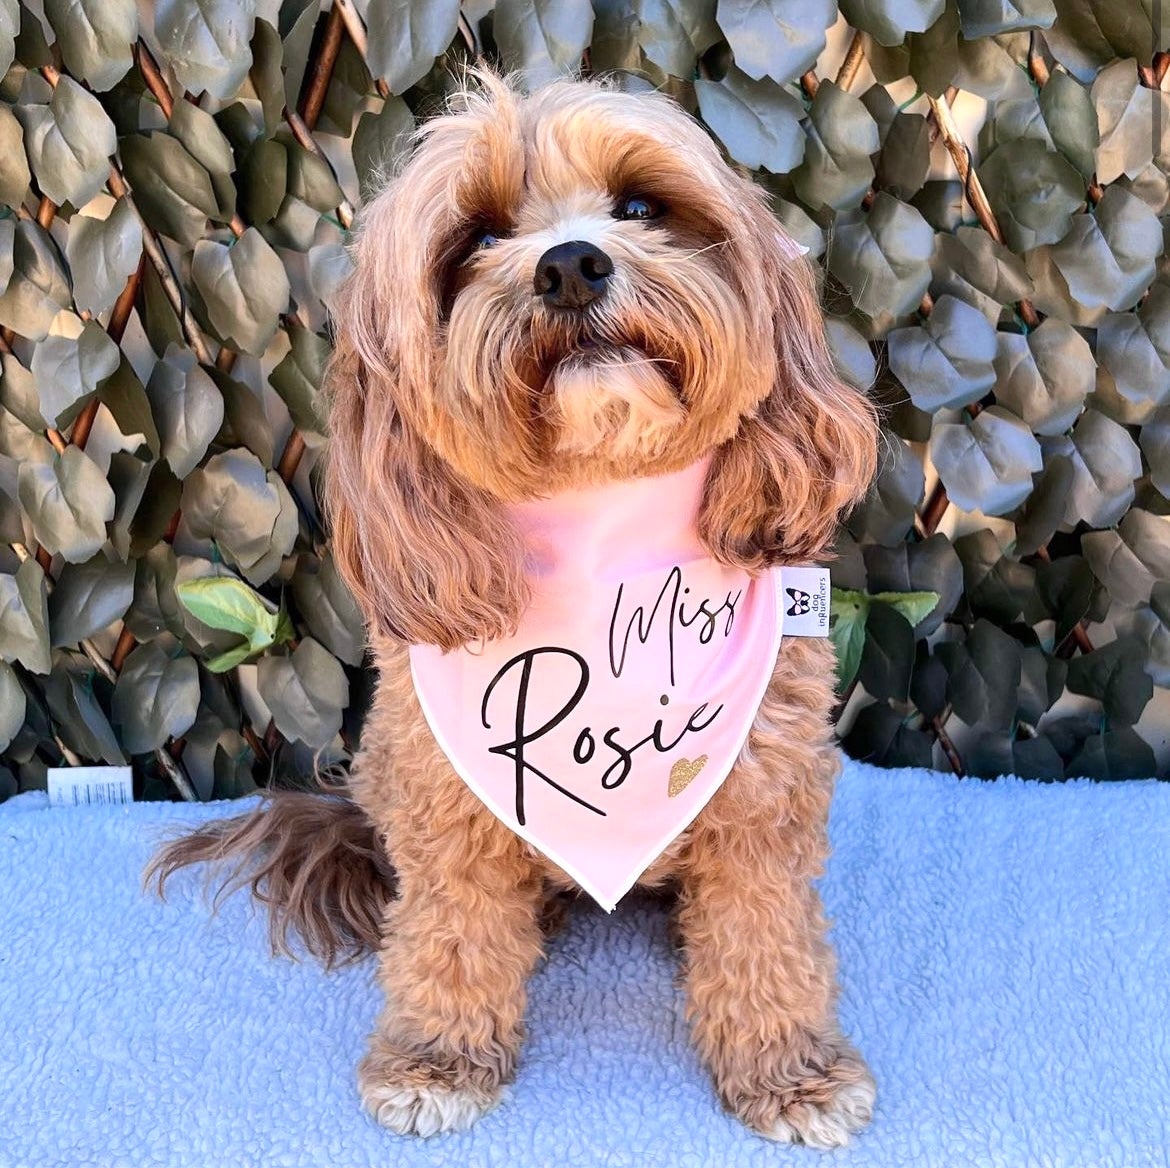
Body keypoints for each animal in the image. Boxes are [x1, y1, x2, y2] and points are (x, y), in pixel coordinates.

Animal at [150, 73, 879, 1151]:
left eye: (639, 206)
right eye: (479, 237)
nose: (570, 265)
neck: (604, 514)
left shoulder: (763, 790)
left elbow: (765, 934)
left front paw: (792, 1070)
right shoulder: (448, 805)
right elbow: (451, 934)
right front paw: (436, 1059)